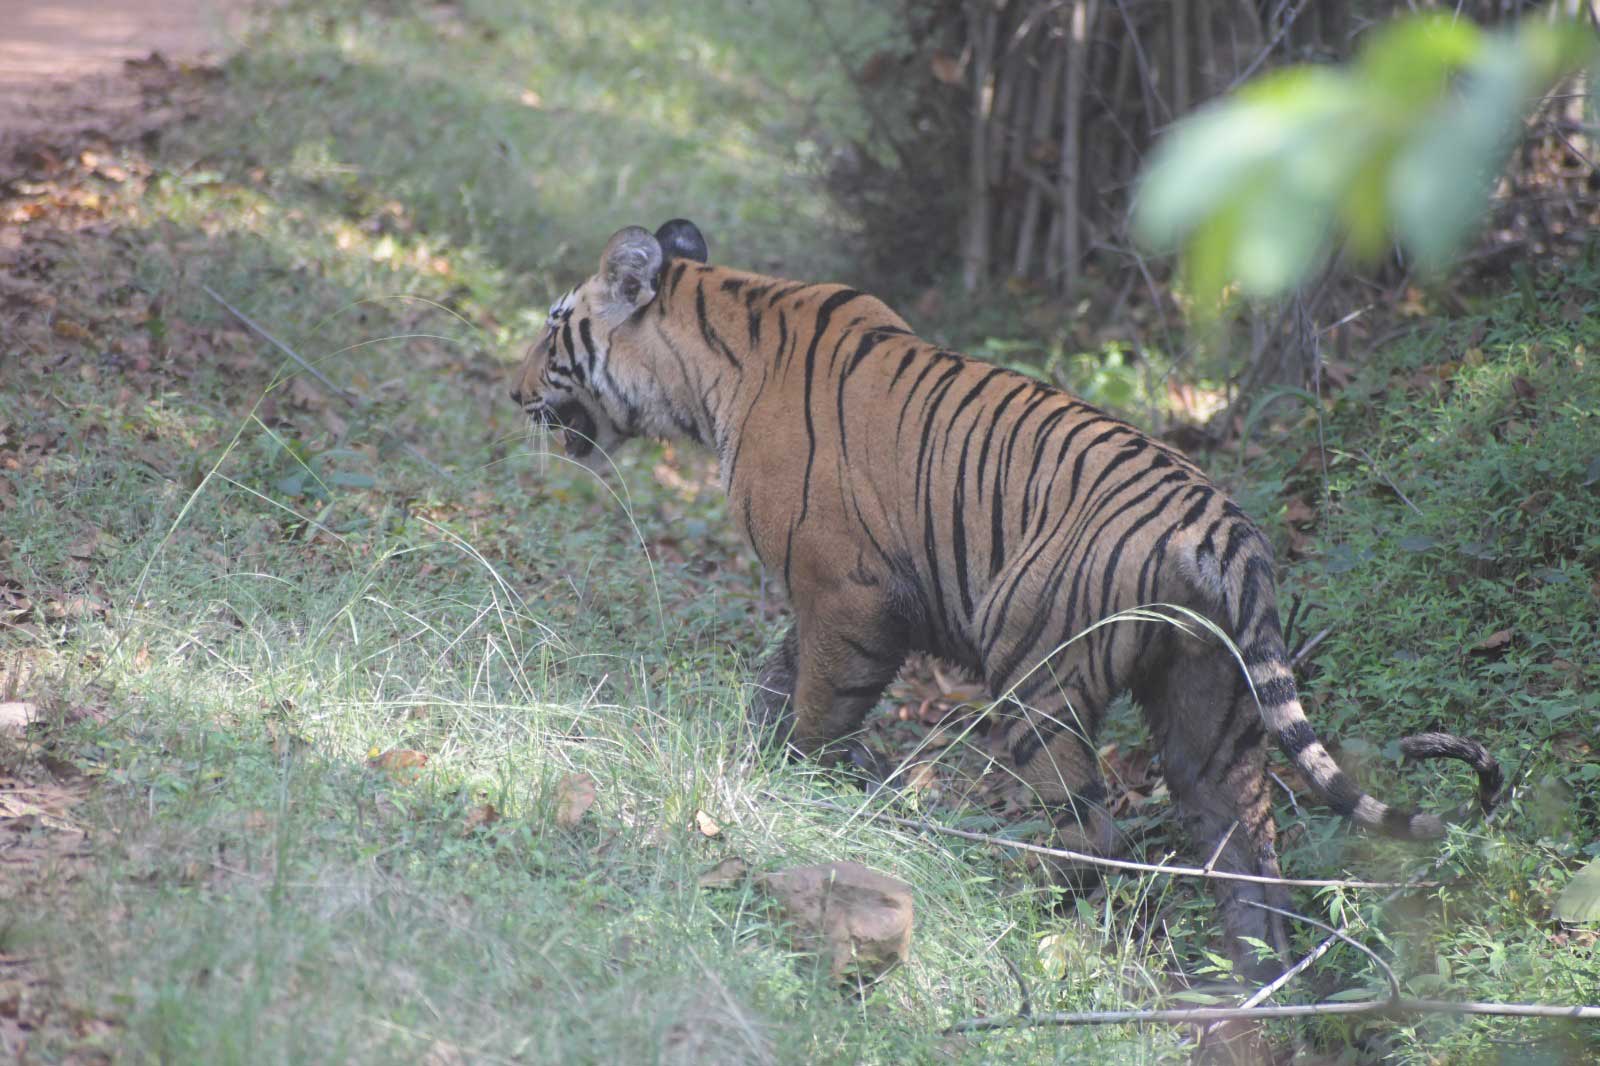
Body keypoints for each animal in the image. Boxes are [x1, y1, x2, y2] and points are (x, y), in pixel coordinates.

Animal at [510, 219, 1501, 976]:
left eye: (555, 329)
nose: (514, 393)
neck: (711, 354)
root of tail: (1223, 527)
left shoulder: (846, 592)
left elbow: (818, 705)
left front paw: (796, 791)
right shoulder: (822, 600)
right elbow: (776, 679)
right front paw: (757, 760)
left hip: (1036, 674)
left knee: (1091, 831)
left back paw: (1011, 905)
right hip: (1211, 712)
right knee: (1252, 862)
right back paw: (1256, 986)